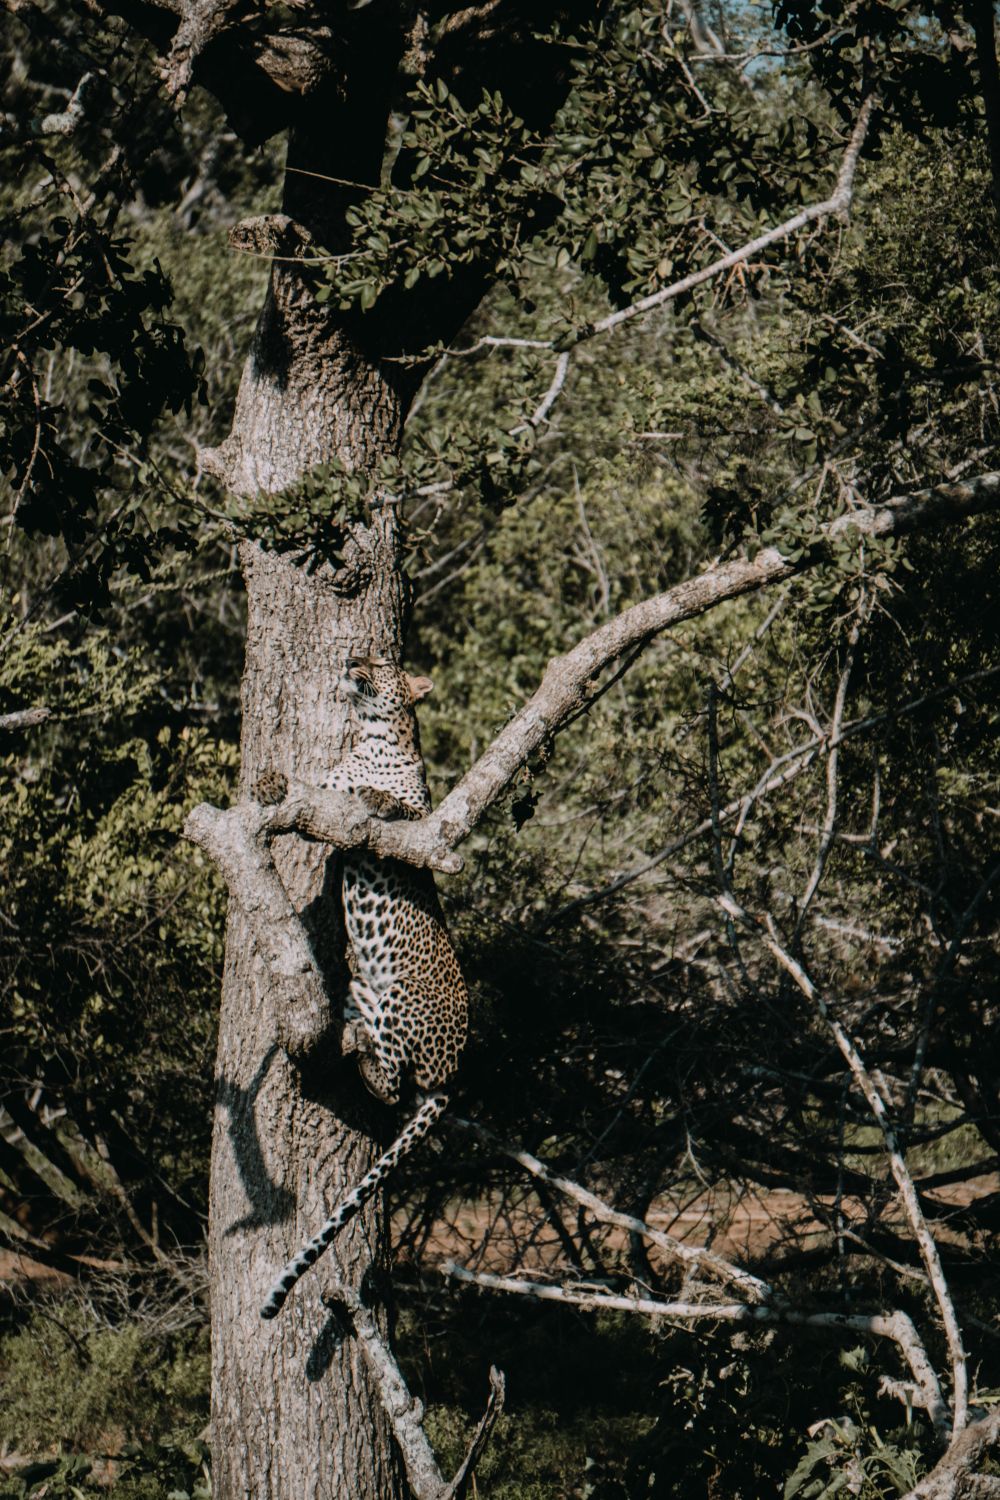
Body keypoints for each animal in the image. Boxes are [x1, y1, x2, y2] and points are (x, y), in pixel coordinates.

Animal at [260, 655, 468, 1319]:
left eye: (383, 663)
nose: (352, 659)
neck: (371, 738)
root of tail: (454, 1075)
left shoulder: (420, 825)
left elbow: (391, 807)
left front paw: (376, 795)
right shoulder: (325, 789)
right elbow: (314, 791)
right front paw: (272, 783)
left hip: (403, 996)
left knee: (397, 1084)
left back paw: (363, 1059)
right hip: (362, 991)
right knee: (384, 1068)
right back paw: (354, 1043)